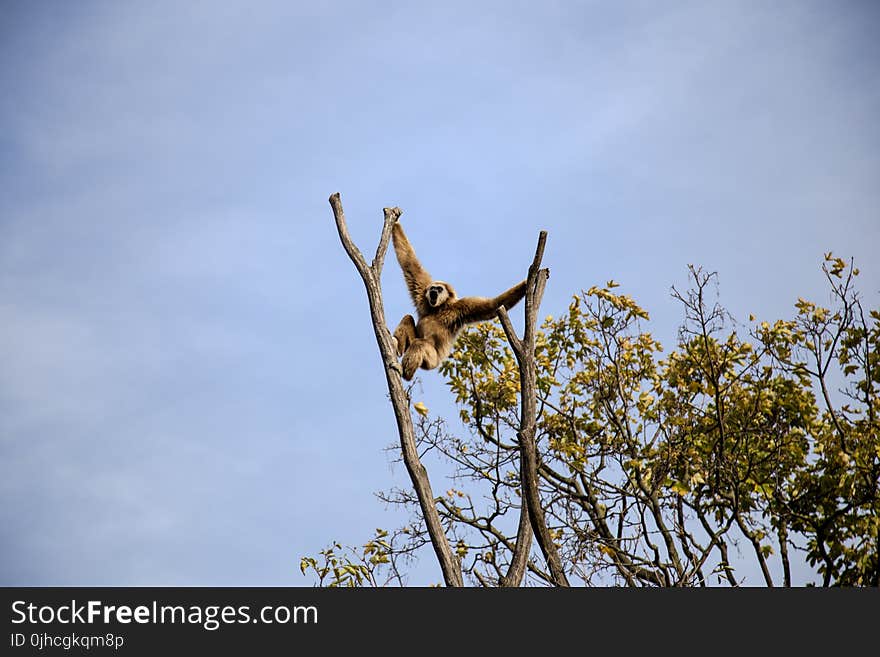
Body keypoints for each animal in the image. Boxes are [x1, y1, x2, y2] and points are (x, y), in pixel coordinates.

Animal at [390, 222, 524, 380]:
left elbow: (492, 305)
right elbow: (409, 263)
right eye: (433, 289)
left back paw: (406, 374)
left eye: (439, 289)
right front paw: (395, 221)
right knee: (408, 318)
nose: (433, 292)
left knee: (419, 344)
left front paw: (528, 281)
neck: (439, 308)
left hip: (431, 361)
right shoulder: (423, 295)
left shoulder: (461, 307)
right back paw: (395, 345)